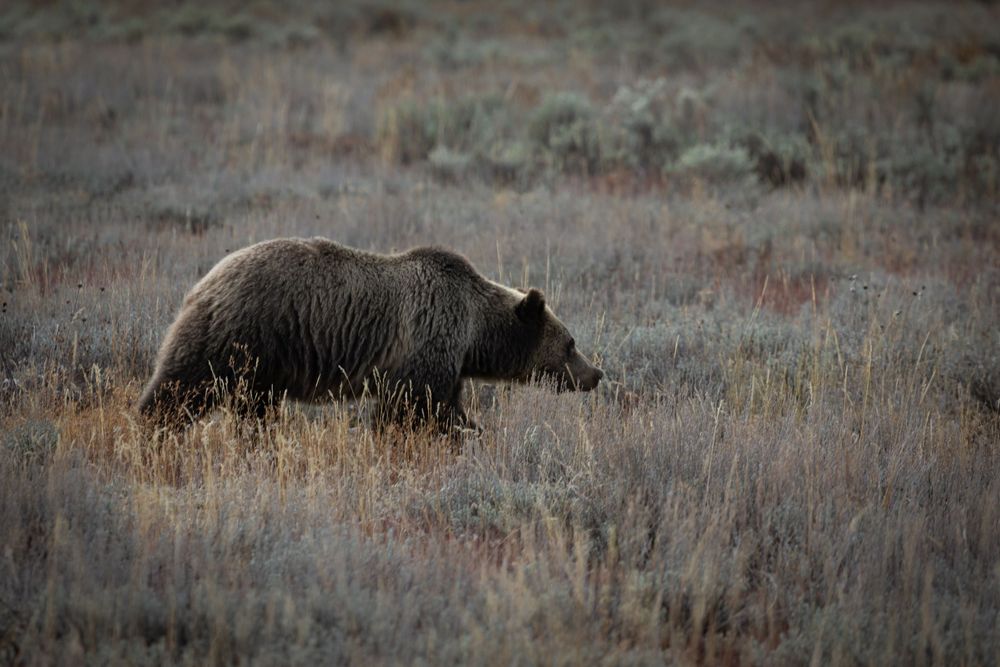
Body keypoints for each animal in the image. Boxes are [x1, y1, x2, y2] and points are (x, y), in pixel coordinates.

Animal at [137, 237, 603, 431]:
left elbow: (443, 403)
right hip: (240, 334)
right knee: (183, 385)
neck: (473, 334)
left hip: (261, 366)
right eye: (571, 343)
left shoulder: (447, 362)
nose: (596, 374)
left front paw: (469, 429)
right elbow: (414, 407)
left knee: (255, 408)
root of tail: (204, 280)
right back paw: (152, 429)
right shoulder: (427, 337)